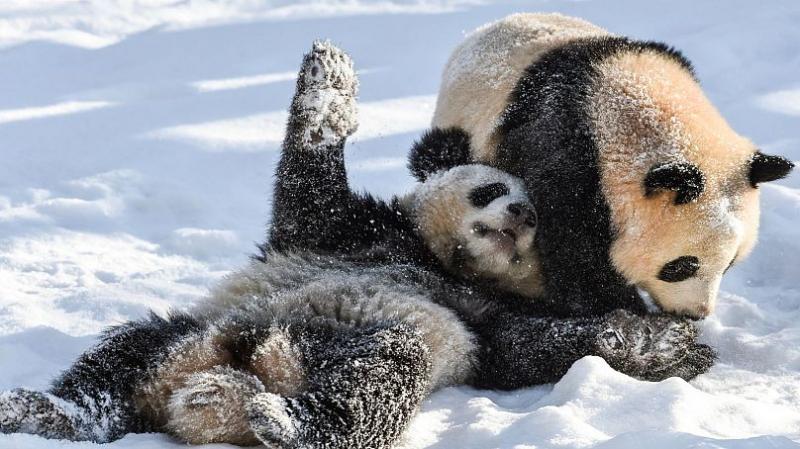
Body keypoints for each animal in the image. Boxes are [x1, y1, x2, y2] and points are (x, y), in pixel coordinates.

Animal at [422, 12, 796, 316]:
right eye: (682, 266)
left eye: (731, 264)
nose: (696, 313)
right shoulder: (565, 161)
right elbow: (581, 266)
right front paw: (627, 309)